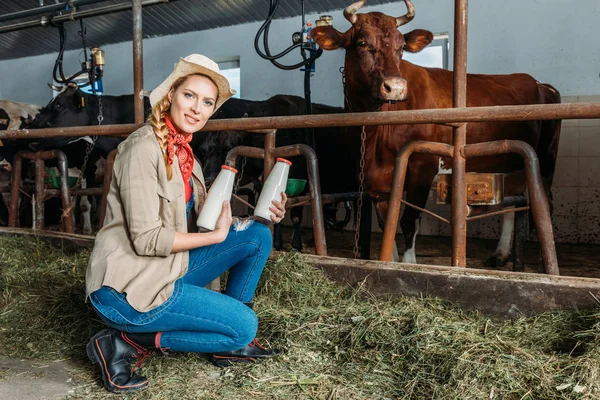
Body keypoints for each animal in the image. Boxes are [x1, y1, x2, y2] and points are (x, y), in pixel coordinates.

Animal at [312, 1, 560, 268]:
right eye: (361, 42)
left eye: (402, 47)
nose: (395, 87)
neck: (373, 132)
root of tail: (539, 83)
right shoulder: (374, 179)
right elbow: (387, 222)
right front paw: (388, 260)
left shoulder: (423, 165)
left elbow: (409, 221)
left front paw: (409, 263)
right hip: (508, 162)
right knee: (513, 205)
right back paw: (500, 254)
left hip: (546, 161)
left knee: (545, 203)